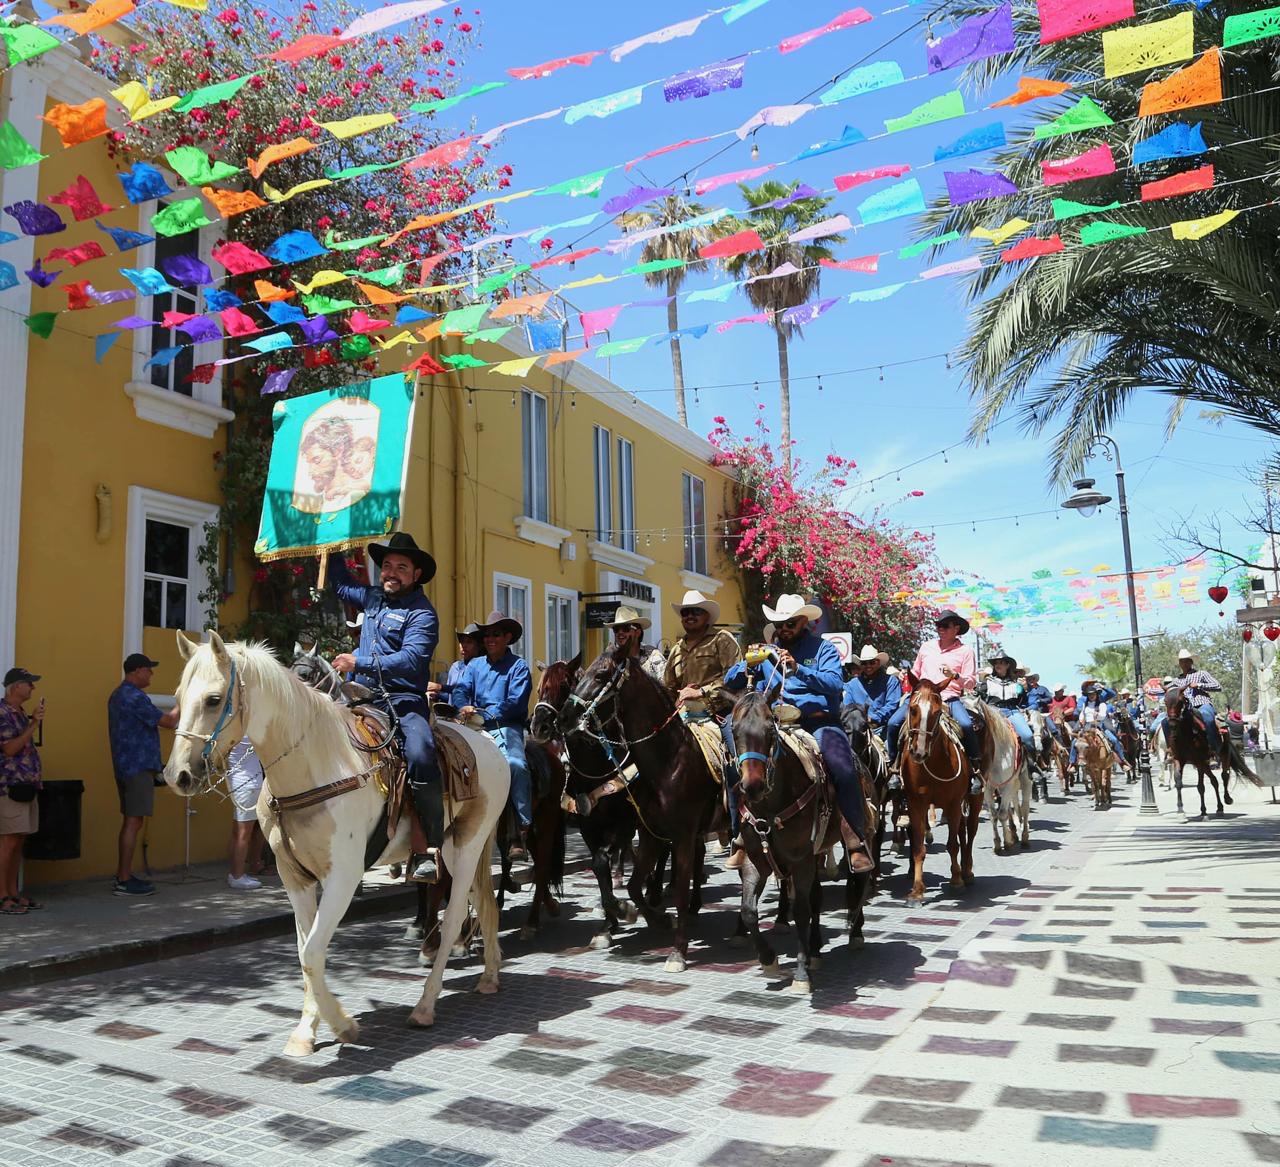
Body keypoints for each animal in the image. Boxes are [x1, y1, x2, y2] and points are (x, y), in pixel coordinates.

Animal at [165, 634, 509, 1054]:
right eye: (179, 695)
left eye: (214, 699)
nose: (178, 775)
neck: (314, 767)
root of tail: (485, 740)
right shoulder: (294, 877)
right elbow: (305, 952)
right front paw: (306, 1031)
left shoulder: (343, 877)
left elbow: (314, 951)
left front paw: (342, 1025)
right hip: (458, 849)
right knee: (485, 901)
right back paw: (489, 976)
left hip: (467, 847)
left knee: (457, 913)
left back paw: (426, 1005)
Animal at [737, 690, 875, 992]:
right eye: (734, 730)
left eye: (770, 731)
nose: (752, 786)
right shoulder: (756, 861)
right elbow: (749, 912)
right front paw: (768, 960)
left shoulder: (800, 861)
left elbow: (801, 910)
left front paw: (800, 974)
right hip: (816, 852)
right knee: (816, 897)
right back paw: (814, 949)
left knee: (856, 882)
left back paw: (855, 934)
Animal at [901, 680, 977, 905]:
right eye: (913, 708)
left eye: (936, 712)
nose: (918, 752)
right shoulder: (916, 804)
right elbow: (918, 848)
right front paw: (916, 891)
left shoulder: (953, 804)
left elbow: (952, 845)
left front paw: (956, 882)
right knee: (962, 831)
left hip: (974, 799)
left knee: (970, 832)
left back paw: (967, 872)